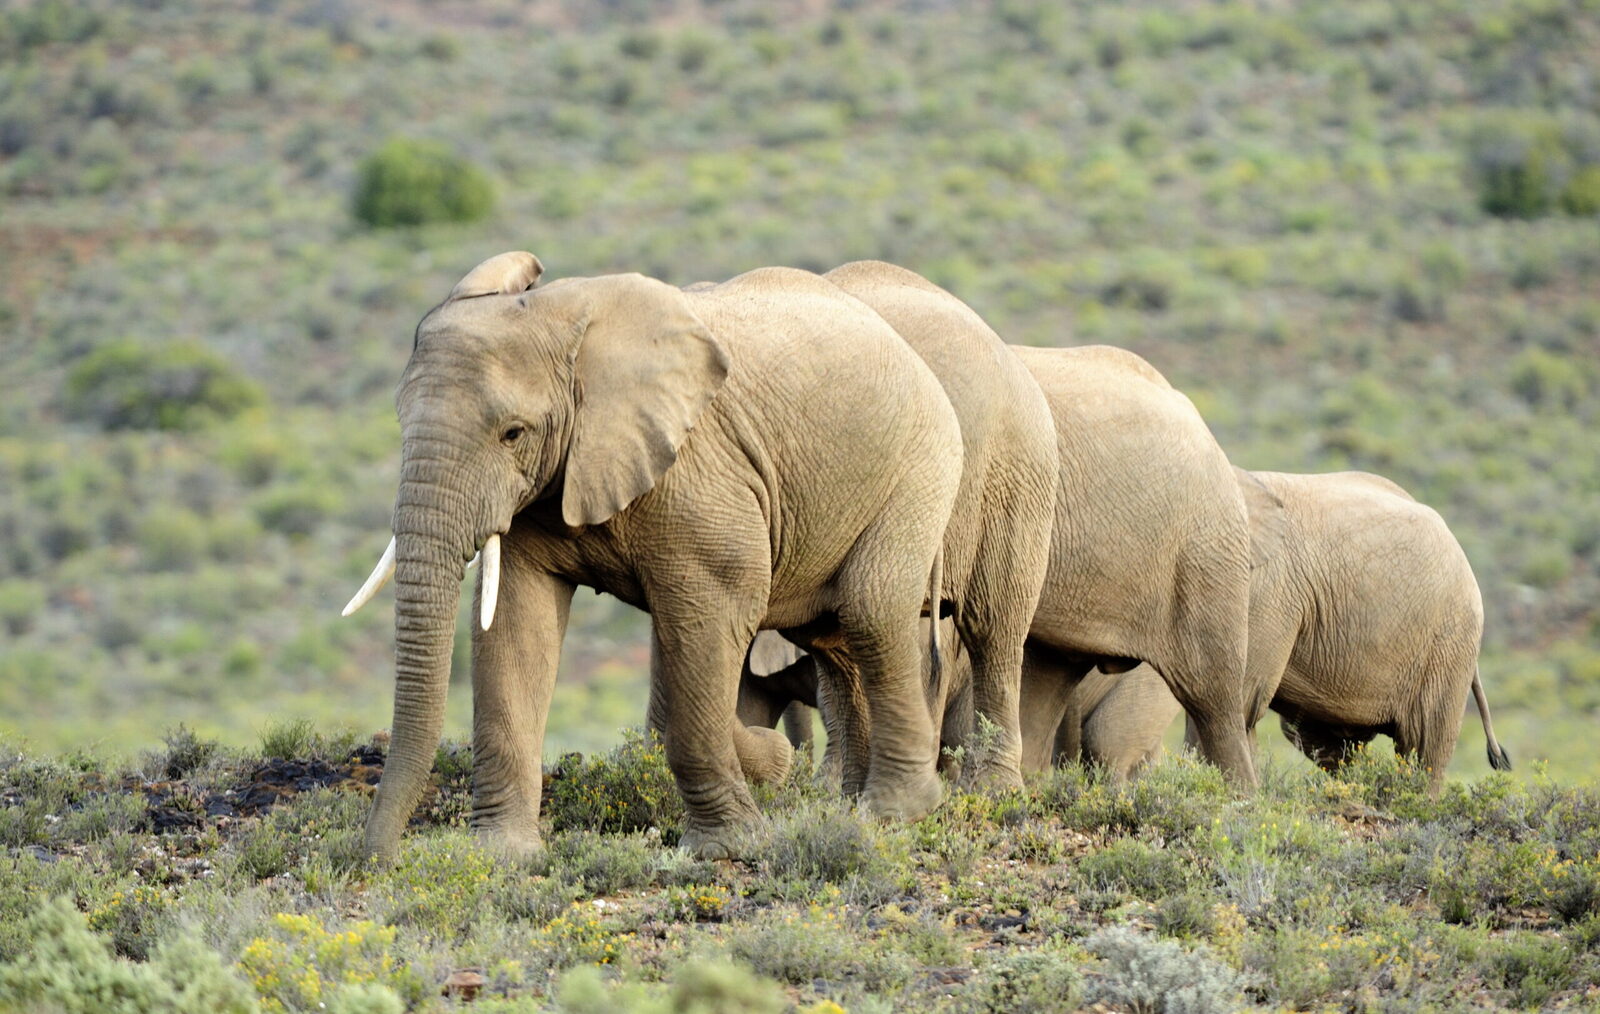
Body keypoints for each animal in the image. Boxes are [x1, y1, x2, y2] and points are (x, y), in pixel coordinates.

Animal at [342, 251, 972, 860]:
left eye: (513, 433)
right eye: (399, 422)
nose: (377, 860)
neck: (568, 324)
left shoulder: (701, 474)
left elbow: (715, 612)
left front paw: (727, 846)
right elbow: (517, 625)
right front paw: (501, 857)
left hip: (921, 465)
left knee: (870, 610)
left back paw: (895, 812)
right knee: (834, 638)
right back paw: (851, 802)